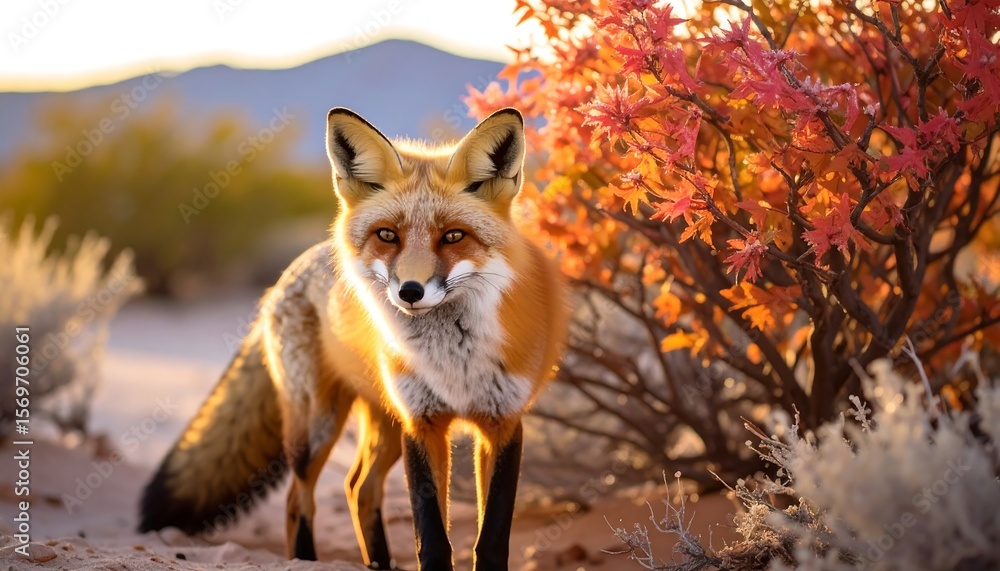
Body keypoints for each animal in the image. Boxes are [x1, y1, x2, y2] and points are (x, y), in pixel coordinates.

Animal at [139, 107, 567, 571]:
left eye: (453, 236)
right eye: (387, 235)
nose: (410, 291)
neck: (453, 363)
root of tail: (287, 273)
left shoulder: (502, 422)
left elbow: (491, 538)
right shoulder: (421, 423)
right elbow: (431, 534)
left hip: (386, 426)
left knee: (358, 488)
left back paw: (378, 563)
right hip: (318, 428)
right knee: (299, 499)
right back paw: (306, 559)